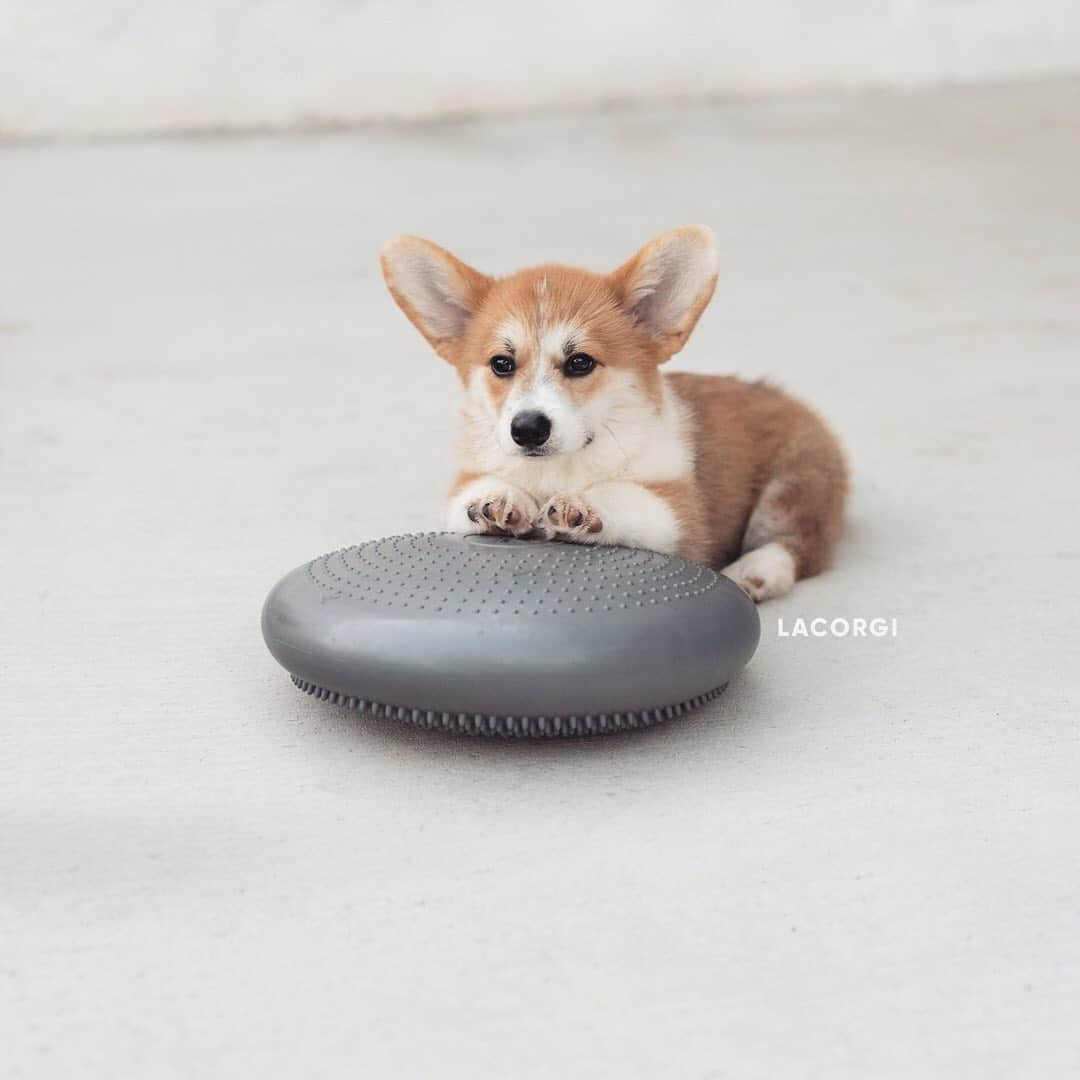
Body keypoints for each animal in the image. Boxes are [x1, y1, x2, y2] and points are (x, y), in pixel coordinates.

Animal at [384, 225, 846, 600]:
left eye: (580, 363)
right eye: (502, 364)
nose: (528, 429)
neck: (561, 467)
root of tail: (782, 394)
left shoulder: (679, 516)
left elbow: (629, 498)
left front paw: (586, 507)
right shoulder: (467, 482)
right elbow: (469, 498)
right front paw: (496, 500)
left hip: (795, 482)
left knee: (799, 545)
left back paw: (755, 572)